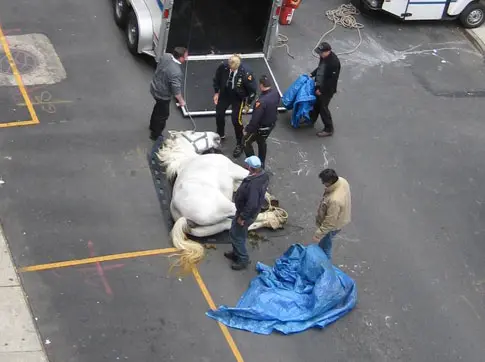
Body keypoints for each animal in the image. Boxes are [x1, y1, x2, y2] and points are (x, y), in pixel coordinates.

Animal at [157, 130, 288, 272]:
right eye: (192, 132)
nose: (217, 136)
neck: (190, 160)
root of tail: (181, 216)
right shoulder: (236, 171)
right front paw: (269, 198)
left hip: (211, 227)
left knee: (232, 226)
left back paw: (272, 221)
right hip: (228, 207)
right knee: (249, 217)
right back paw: (275, 217)